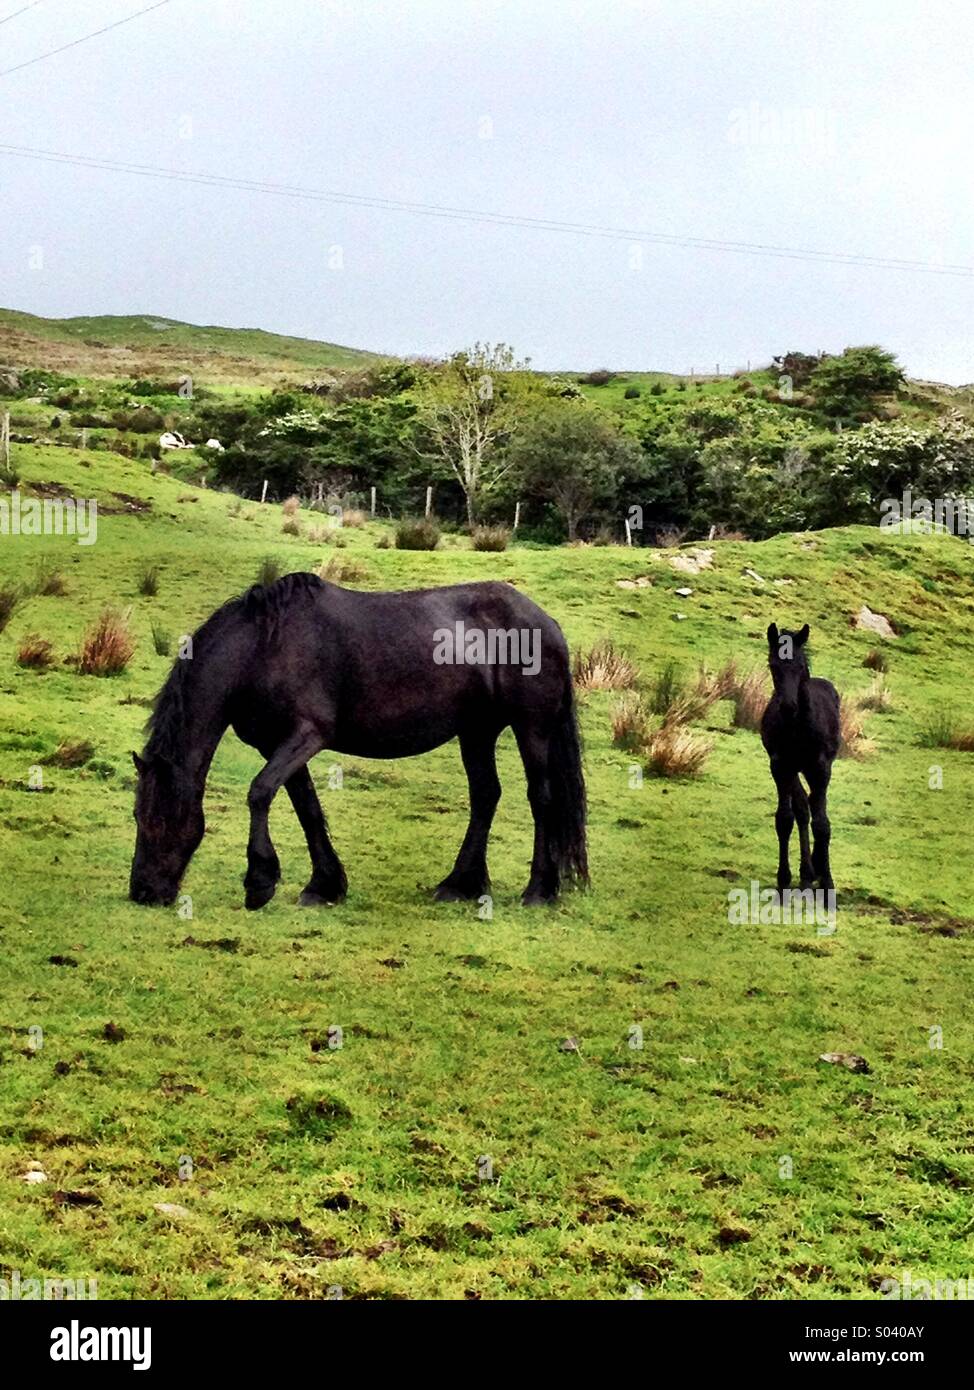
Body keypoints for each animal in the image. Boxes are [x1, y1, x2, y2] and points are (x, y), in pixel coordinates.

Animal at [129, 573, 588, 910]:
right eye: (137, 816)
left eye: (160, 818)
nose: (142, 892)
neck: (264, 647)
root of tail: (547, 623)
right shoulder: (278, 745)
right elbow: (307, 808)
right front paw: (324, 886)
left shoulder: (307, 735)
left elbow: (259, 792)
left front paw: (260, 882)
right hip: (477, 731)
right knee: (486, 796)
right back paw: (460, 884)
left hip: (532, 728)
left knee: (541, 798)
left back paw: (538, 890)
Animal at [759, 622, 840, 893]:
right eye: (773, 666)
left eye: (801, 666)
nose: (788, 707)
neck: (799, 728)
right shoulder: (780, 765)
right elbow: (785, 818)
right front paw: (783, 878)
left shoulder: (821, 768)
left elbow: (822, 824)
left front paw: (828, 881)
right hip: (794, 769)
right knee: (804, 807)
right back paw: (807, 871)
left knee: (814, 807)